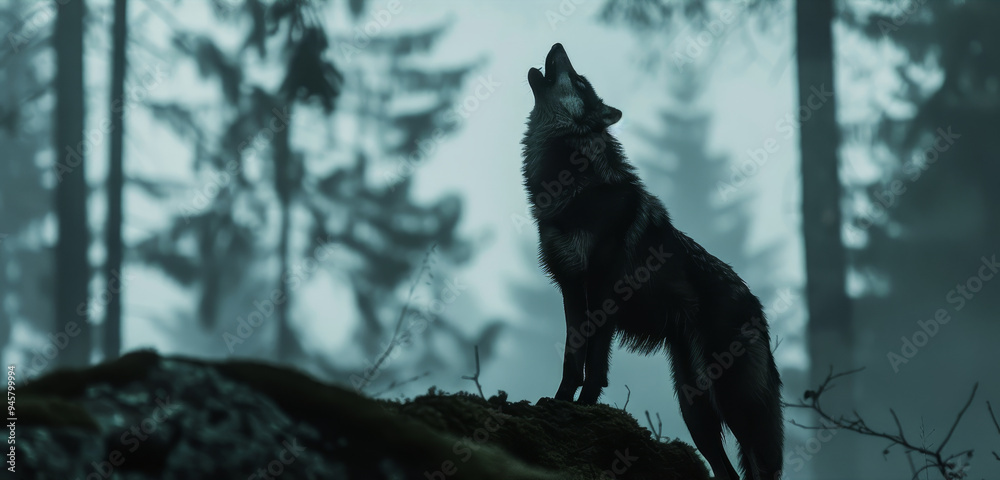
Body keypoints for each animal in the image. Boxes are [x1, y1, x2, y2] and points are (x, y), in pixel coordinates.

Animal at [521, 43, 784, 480]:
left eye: (579, 81)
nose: (558, 46)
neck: (574, 186)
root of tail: (757, 307)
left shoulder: (603, 294)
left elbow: (594, 367)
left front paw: (583, 410)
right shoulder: (571, 290)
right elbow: (572, 361)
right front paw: (557, 404)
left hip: (735, 405)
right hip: (695, 410)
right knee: (726, 471)